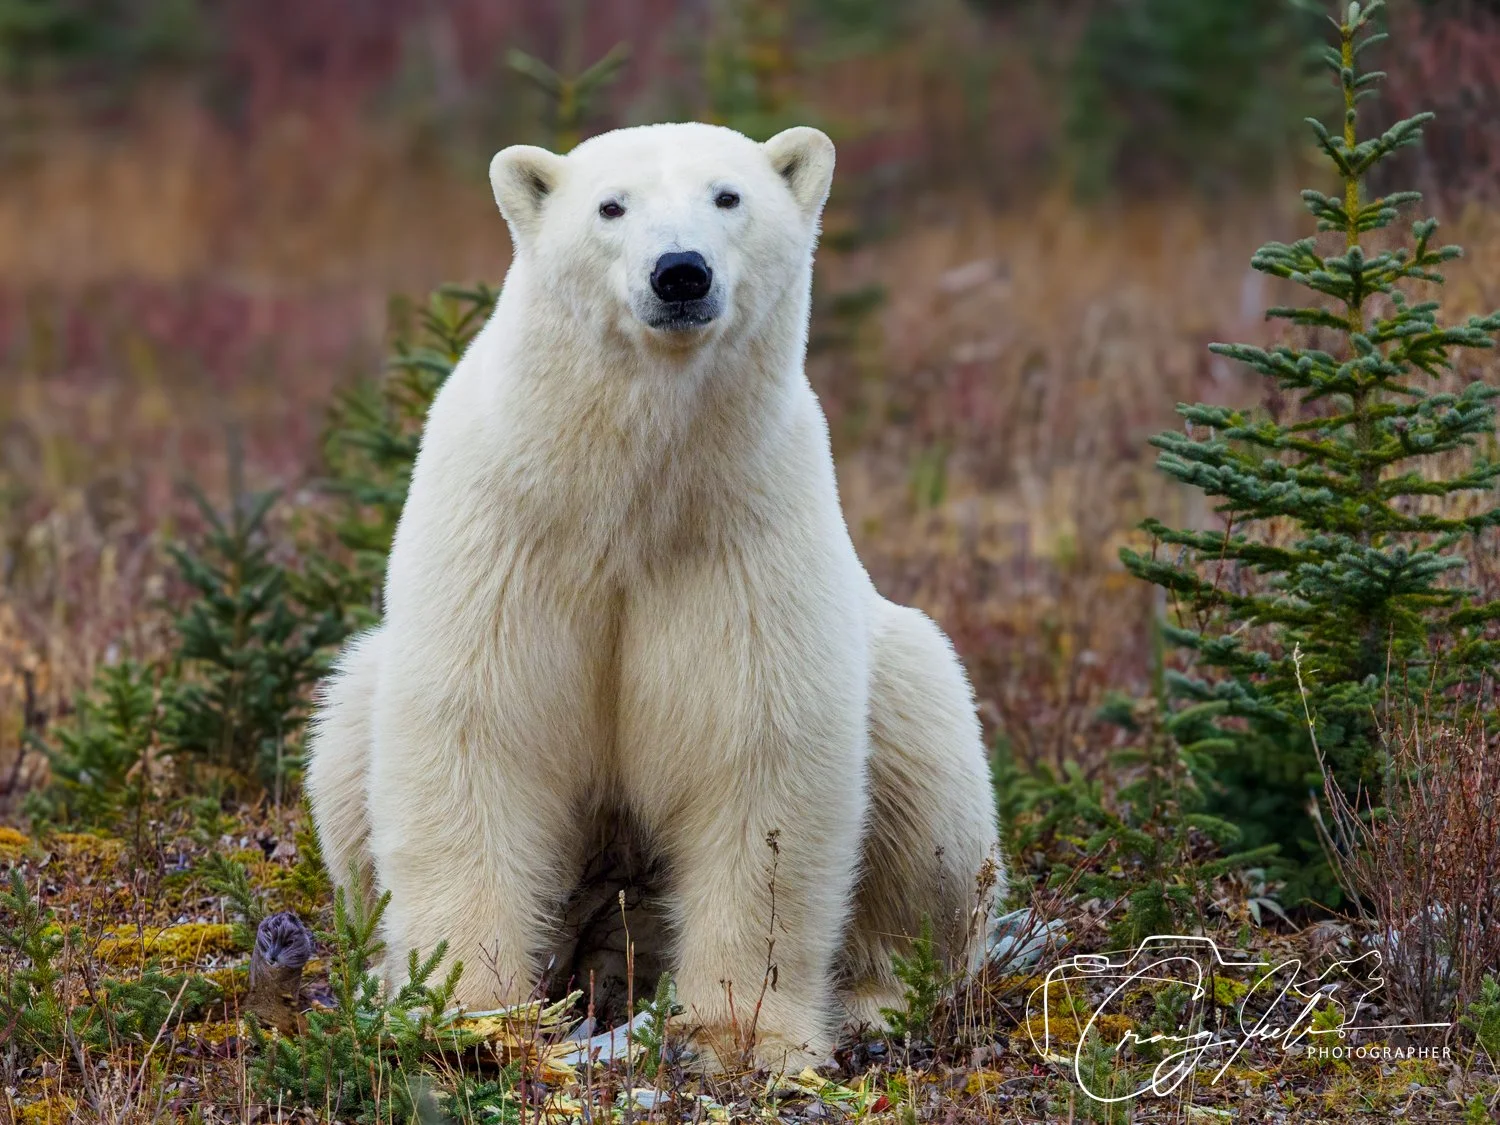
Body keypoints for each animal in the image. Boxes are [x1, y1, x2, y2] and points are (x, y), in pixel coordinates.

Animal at [305, 121, 1002, 1072]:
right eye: (611, 205)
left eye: (727, 196)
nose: (680, 272)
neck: (627, 490)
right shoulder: (508, 531)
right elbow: (477, 733)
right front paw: (468, 1012)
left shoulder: (740, 536)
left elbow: (756, 757)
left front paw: (746, 1036)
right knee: (347, 733)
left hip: (906, 679)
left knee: (929, 796)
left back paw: (874, 998)